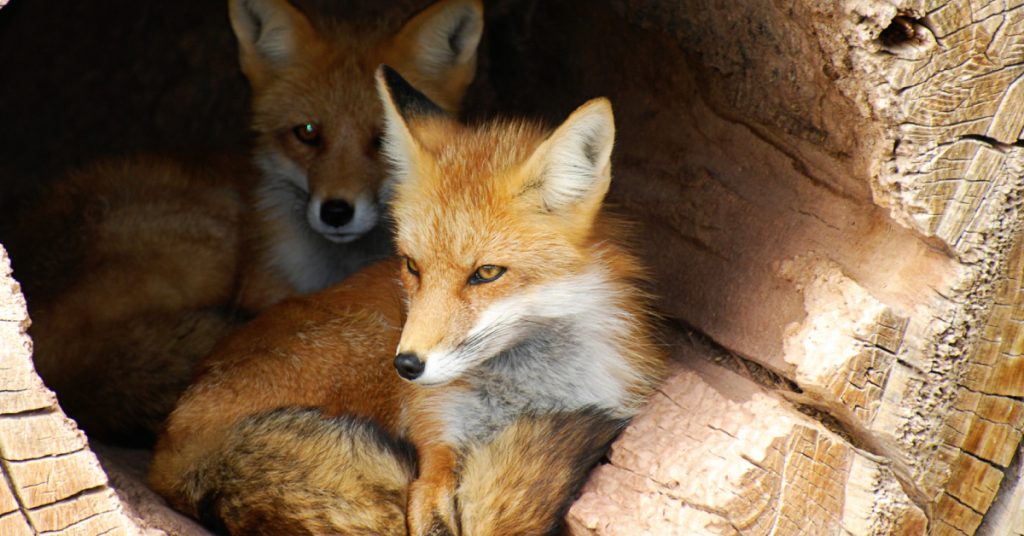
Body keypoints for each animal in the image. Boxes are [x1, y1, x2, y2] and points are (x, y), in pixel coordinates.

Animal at [148, 67, 667, 536]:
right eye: (413, 266)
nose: (408, 366)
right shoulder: (434, 442)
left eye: (486, 273)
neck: (521, 400)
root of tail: (174, 445)